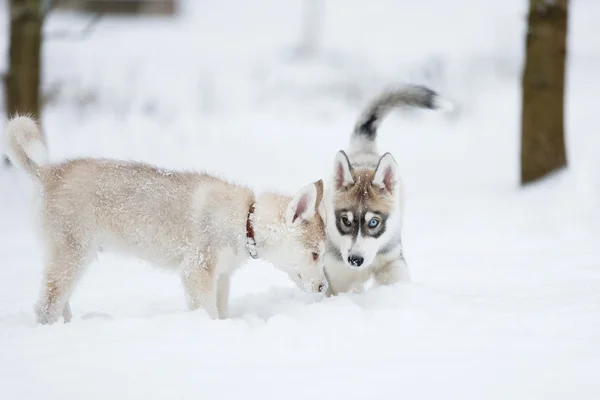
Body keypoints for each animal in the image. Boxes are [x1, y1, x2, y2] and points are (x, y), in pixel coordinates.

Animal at [3, 114, 328, 324]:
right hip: (73, 255)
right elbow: (208, 313)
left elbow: (222, 312)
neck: (244, 220)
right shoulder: (196, 270)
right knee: (45, 307)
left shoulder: (221, 277)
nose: (325, 288)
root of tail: (47, 173)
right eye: (315, 254)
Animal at [324, 84, 450, 296]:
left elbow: (395, 277)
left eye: (374, 222)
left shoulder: (391, 259)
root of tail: (364, 151)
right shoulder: (337, 275)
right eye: (345, 221)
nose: (355, 260)